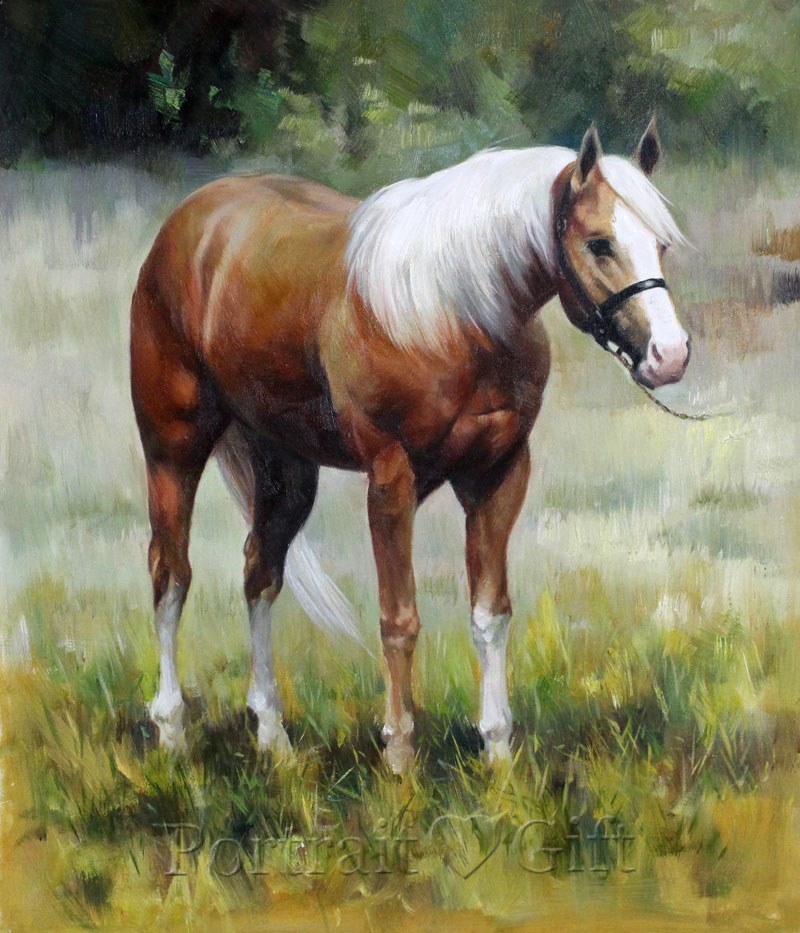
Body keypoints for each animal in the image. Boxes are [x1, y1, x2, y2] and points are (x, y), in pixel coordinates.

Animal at [130, 120, 689, 772]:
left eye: (662, 245)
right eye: (599, 243)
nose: (670, 355)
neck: (455, 312)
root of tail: (191, 221)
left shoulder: (498, 476)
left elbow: (490, 614)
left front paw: (498, 754)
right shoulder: (391, 481)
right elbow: (399, 619)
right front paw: (399, 757)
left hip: (285, 470)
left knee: (259, 574)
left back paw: (274, 738)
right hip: (174, 450)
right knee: (170, 575)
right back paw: (172, 733)